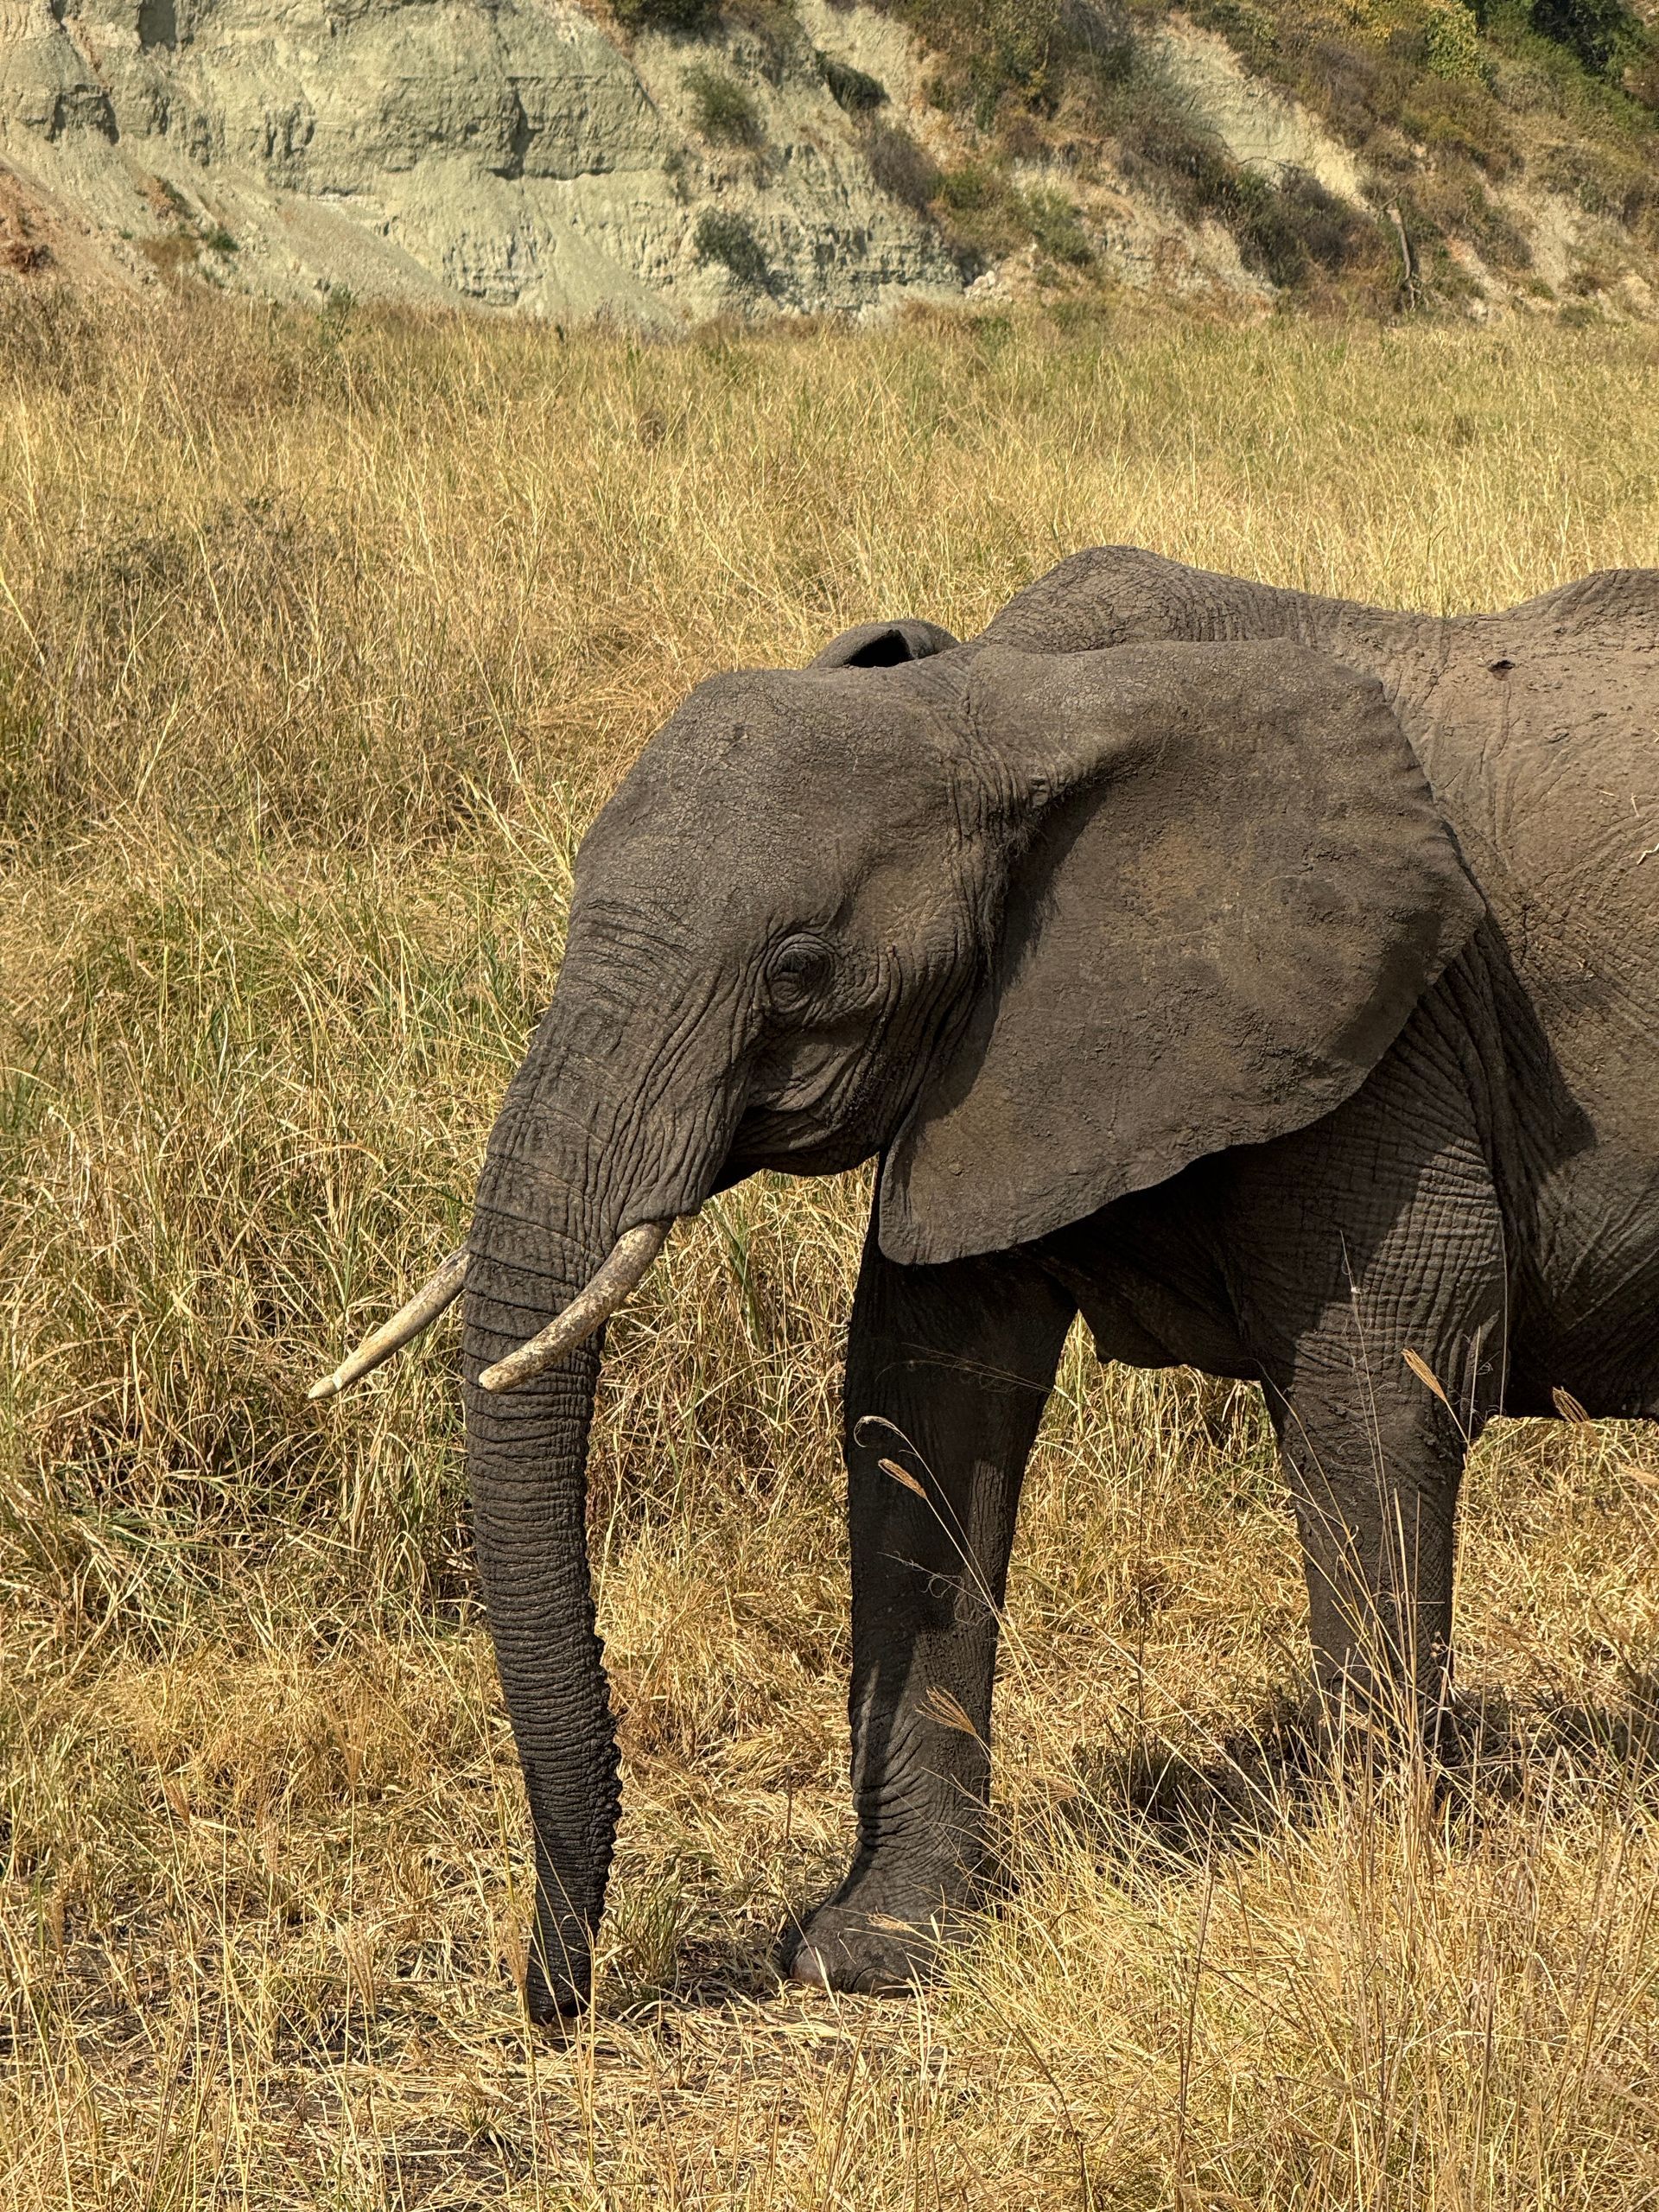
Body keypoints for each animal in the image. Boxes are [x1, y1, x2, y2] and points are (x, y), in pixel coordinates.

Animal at [310, 544, 1659, 2021]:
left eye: (800, 972)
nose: (560, 1998)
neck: (1004, 708)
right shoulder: (998, 1050)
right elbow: (924, 1400)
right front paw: (870, 1955)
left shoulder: (1382, 1035)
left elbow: (1379, 1384)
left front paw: (1367, 1893)